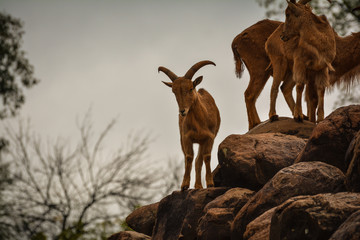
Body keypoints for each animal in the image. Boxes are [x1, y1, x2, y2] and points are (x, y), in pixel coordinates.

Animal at [159, 60, 221, 191]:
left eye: (191, 88)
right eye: (174, 91)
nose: (182, 111)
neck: (199, 123)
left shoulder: (209, 138)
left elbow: (206, 157)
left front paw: (210, 183)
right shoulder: (186, 137)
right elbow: (189, 158)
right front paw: (184, 185)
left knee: (199, 160)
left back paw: (198, 185)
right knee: (191, 159)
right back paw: (196, 185)